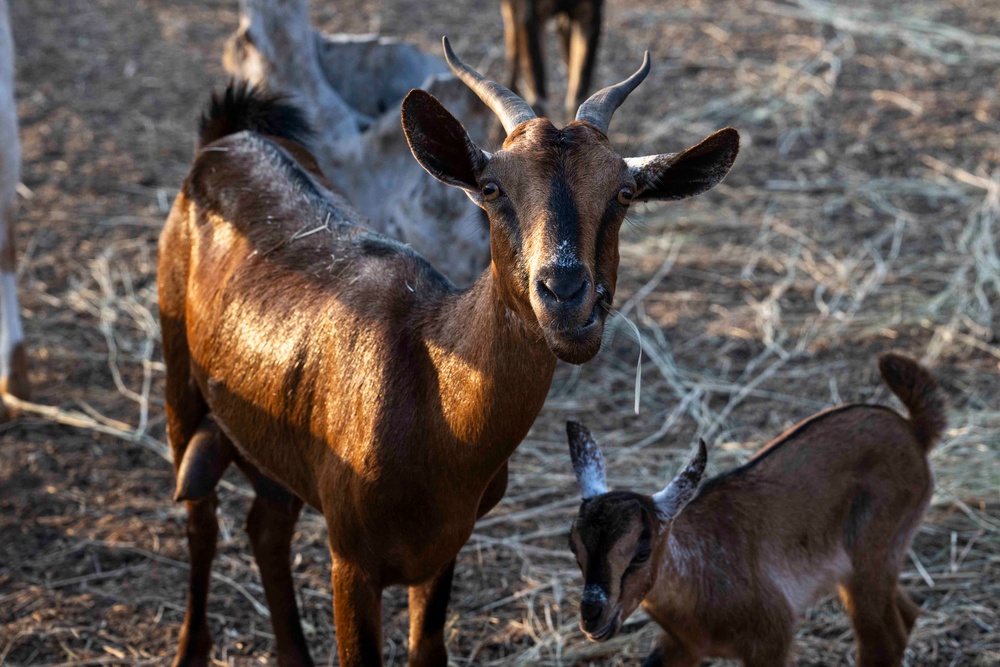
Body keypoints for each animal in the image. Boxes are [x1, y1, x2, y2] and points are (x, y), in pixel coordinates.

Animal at [160, 37, 740, 667]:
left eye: (624, 193)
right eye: (492, 189)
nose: (566, 295)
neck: (432, 390)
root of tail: (229, 134)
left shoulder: (442, 551)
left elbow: (428, 650)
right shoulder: (351, 560)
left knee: (265, 526)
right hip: (178, 375)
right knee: (202, 522)